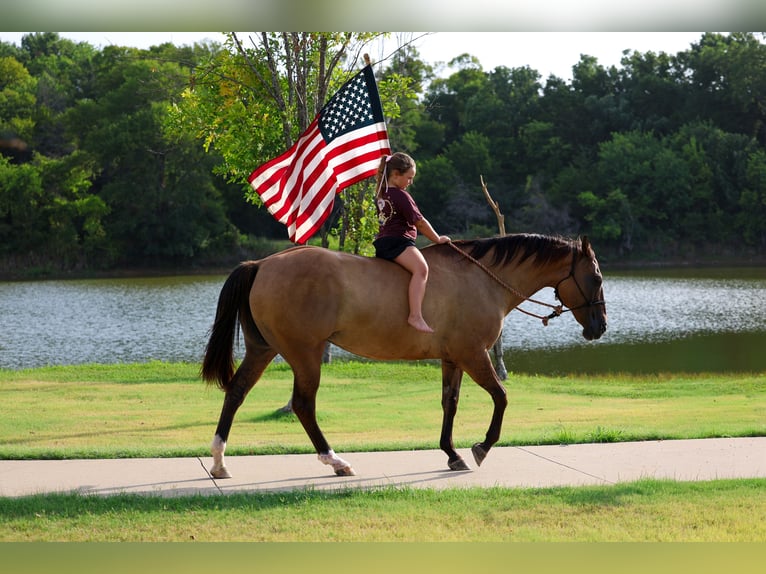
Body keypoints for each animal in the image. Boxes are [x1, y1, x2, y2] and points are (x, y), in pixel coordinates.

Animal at [201, 233, 607, 478]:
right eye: (598, 278)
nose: (600, 326)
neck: (481, 279)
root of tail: (262, 264)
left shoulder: (453, 358)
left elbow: (450, 403)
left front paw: (451, 452)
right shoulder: (474, 354)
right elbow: (501, 398)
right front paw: (481, 447)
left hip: (264, 349)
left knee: (236, 392)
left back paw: (219, 461)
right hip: (305, 354)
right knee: (302, 405)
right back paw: (335, 460)